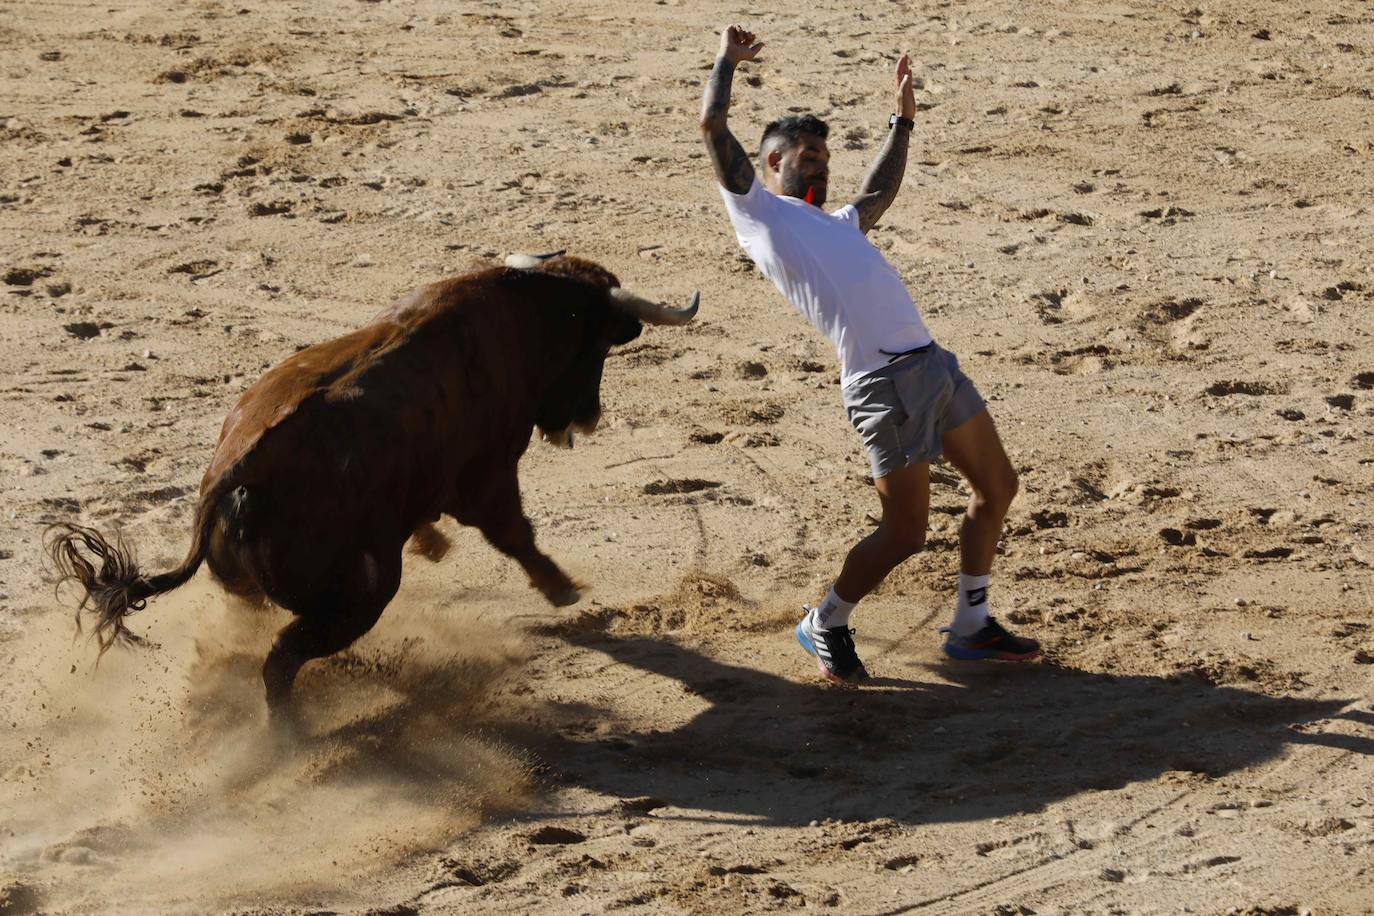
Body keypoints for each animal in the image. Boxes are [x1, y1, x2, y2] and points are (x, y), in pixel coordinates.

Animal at [45, 254, 697, 736]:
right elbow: (513, 532)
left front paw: (435, 544)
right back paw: (289, 736)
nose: (586, 417)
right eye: (597, 349)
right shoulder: (487, 477)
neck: (514, 318)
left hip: (253, 585)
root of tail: (235, 475)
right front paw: (563, 590)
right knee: (282, 658)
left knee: (250, 634)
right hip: (361, 595)